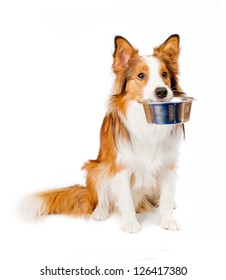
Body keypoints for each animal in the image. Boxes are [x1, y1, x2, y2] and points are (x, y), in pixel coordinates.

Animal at [25, 35, 186, 233]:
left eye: (164, 75)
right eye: (141, 75)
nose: (162, 91)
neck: (146, 120)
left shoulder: (167, 164)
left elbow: (167, 196)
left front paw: (168, 219)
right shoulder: (120, 167)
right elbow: (126, 200)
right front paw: (130, 223)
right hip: (97, 167)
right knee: (101, 197)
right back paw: (100, 212)